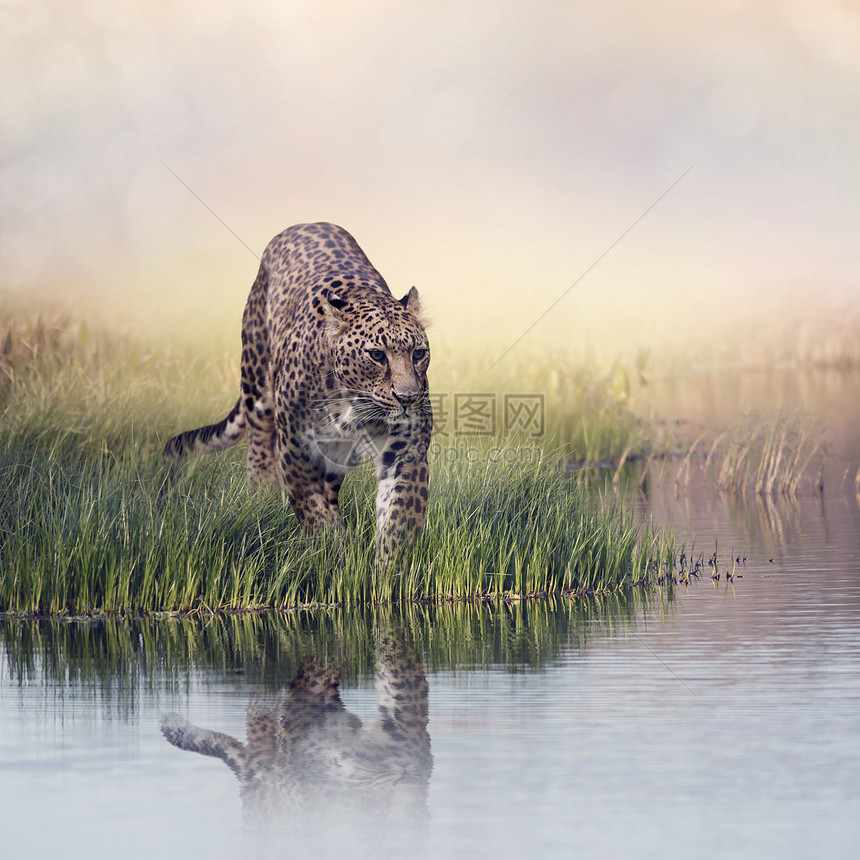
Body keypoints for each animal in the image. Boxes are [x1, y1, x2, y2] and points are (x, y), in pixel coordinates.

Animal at [163, 222, 430, 564]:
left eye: (419, 353)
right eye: (376, 355)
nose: (408, 398)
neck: (353, 403)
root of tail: (308, 223)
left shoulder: (406, 450)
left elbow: (398, 519)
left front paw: (387, 570)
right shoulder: (295, 447)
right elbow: (312, 512)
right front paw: (333, 556)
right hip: (256, 381)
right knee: (259, 446)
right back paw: (263, 498)